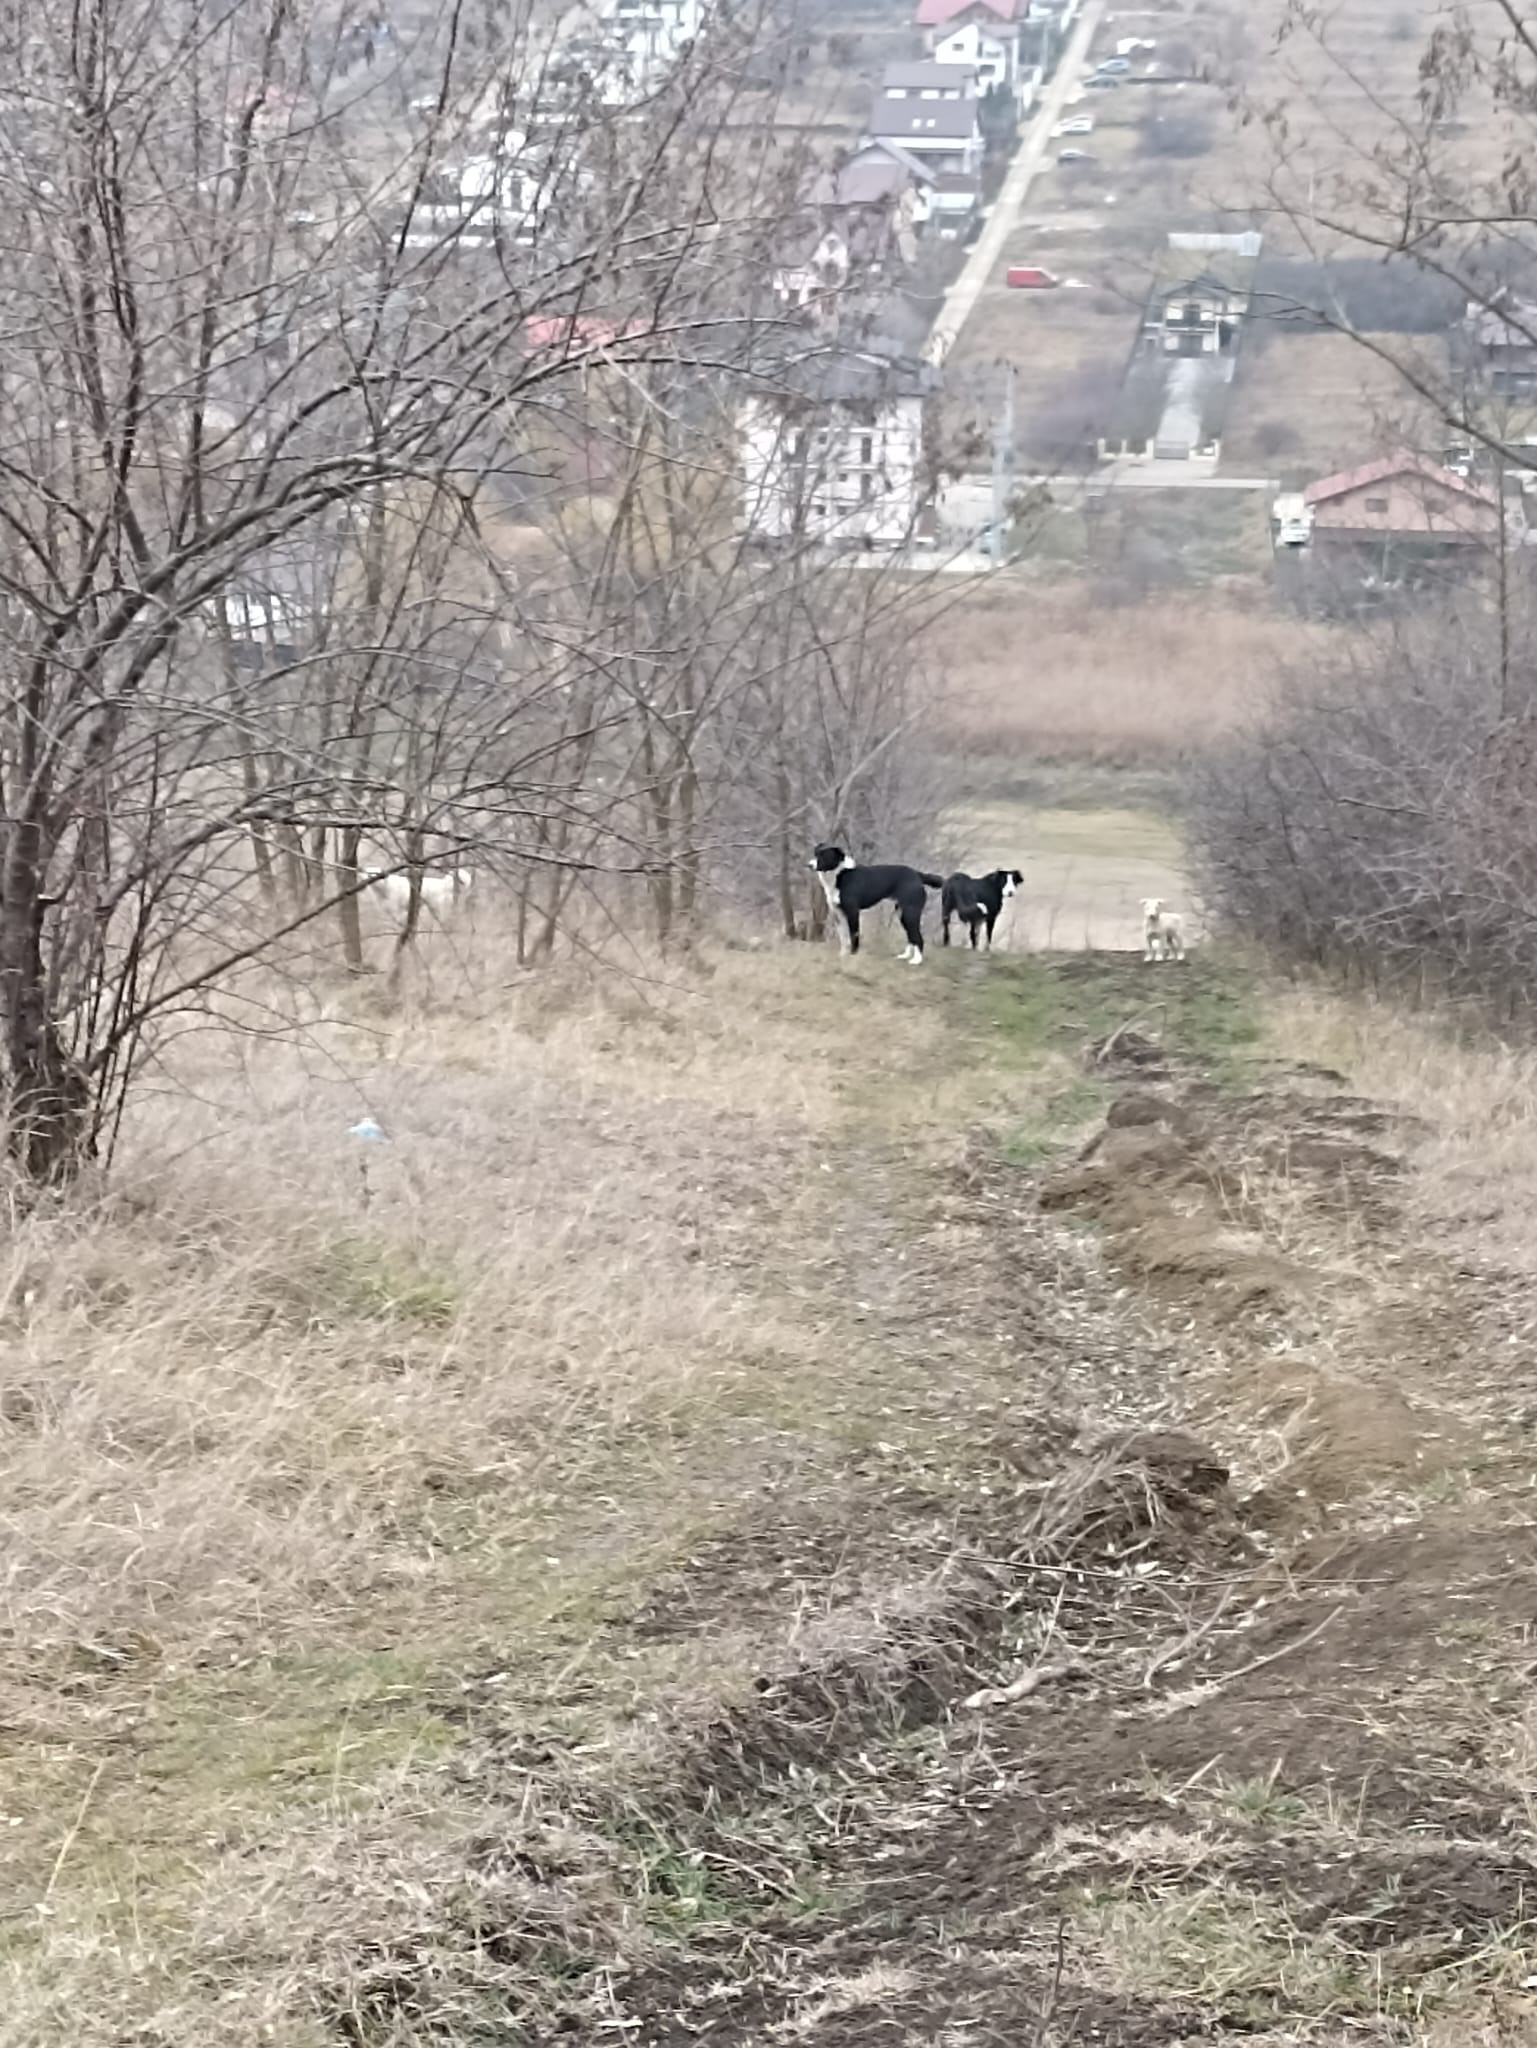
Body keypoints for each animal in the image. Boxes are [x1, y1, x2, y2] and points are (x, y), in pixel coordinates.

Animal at [811, 843, 946, 962]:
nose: (809, 865)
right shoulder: (838, 914)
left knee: (918, 937)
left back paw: (916, 960)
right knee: (911, 936)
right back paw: (905, 956)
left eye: (824, 856)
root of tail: (917, 874)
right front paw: (843, 956)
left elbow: (854, 936)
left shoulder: (853, 913)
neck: (841, 874)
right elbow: (844, 939)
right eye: (816, 853)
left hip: (910, 913)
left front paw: (853, 955)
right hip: (902, 914)